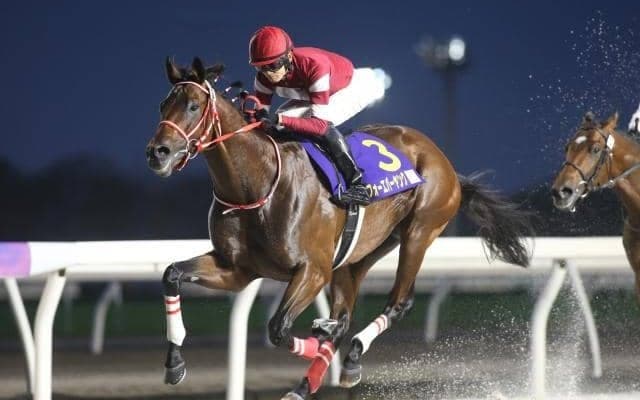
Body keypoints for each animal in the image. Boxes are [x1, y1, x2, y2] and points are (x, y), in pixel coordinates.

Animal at [145, 57, 533, 400]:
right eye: (163, 104)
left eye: (193, 105)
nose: (157, 152)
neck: (257, 185)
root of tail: (445, 162)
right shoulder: (237, 269)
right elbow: (171, 274)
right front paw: (174, 364)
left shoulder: (313, 270)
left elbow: (279, 328)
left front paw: (318, 334)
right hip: (359, 253)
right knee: (348, 312)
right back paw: (314, 380)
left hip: (420, 231)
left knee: (399, 302)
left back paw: (345, 350)